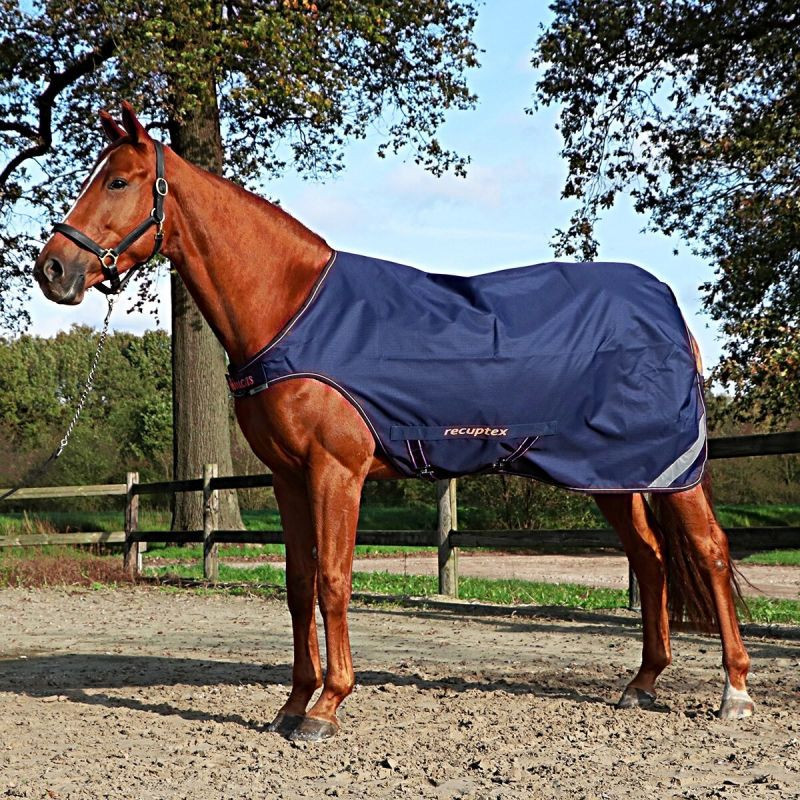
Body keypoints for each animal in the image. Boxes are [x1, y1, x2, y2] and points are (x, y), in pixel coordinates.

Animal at [34, 103, 753, 741]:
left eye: (119, 180)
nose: (53, 269)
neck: (292, 310)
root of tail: (671, 315)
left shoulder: (337, 472)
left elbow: (332, 582)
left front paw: (326, 708)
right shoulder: (289, 479)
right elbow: (297, 586)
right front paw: (291, 704)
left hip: (672, 470)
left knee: (710, 552)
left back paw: (735, 693)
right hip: (611, 475)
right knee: (652, 558)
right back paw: (643, 683)